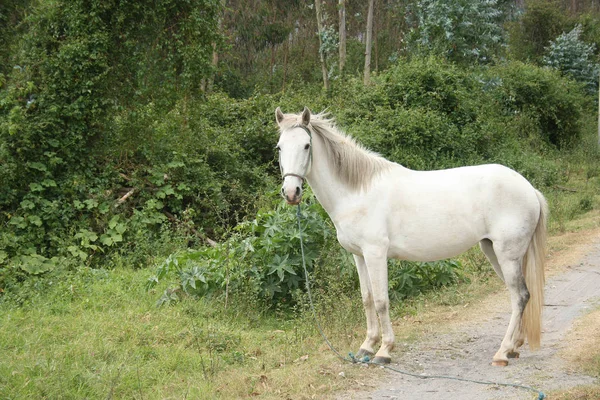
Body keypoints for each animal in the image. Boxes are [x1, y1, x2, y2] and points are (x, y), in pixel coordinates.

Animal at [274, 106, 548, 366]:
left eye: (306, 145)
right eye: (279, 147)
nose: (291, 192)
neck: (357, 192)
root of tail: (529, 188)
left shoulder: (375, 253)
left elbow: (381, 300)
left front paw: (384, 351)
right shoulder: (359, 256)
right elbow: (367, 299)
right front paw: (366, 347)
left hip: (507, 254)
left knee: (520, 296)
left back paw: (502, 353)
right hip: (493, 250)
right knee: (518, 295)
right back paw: (513, 347)